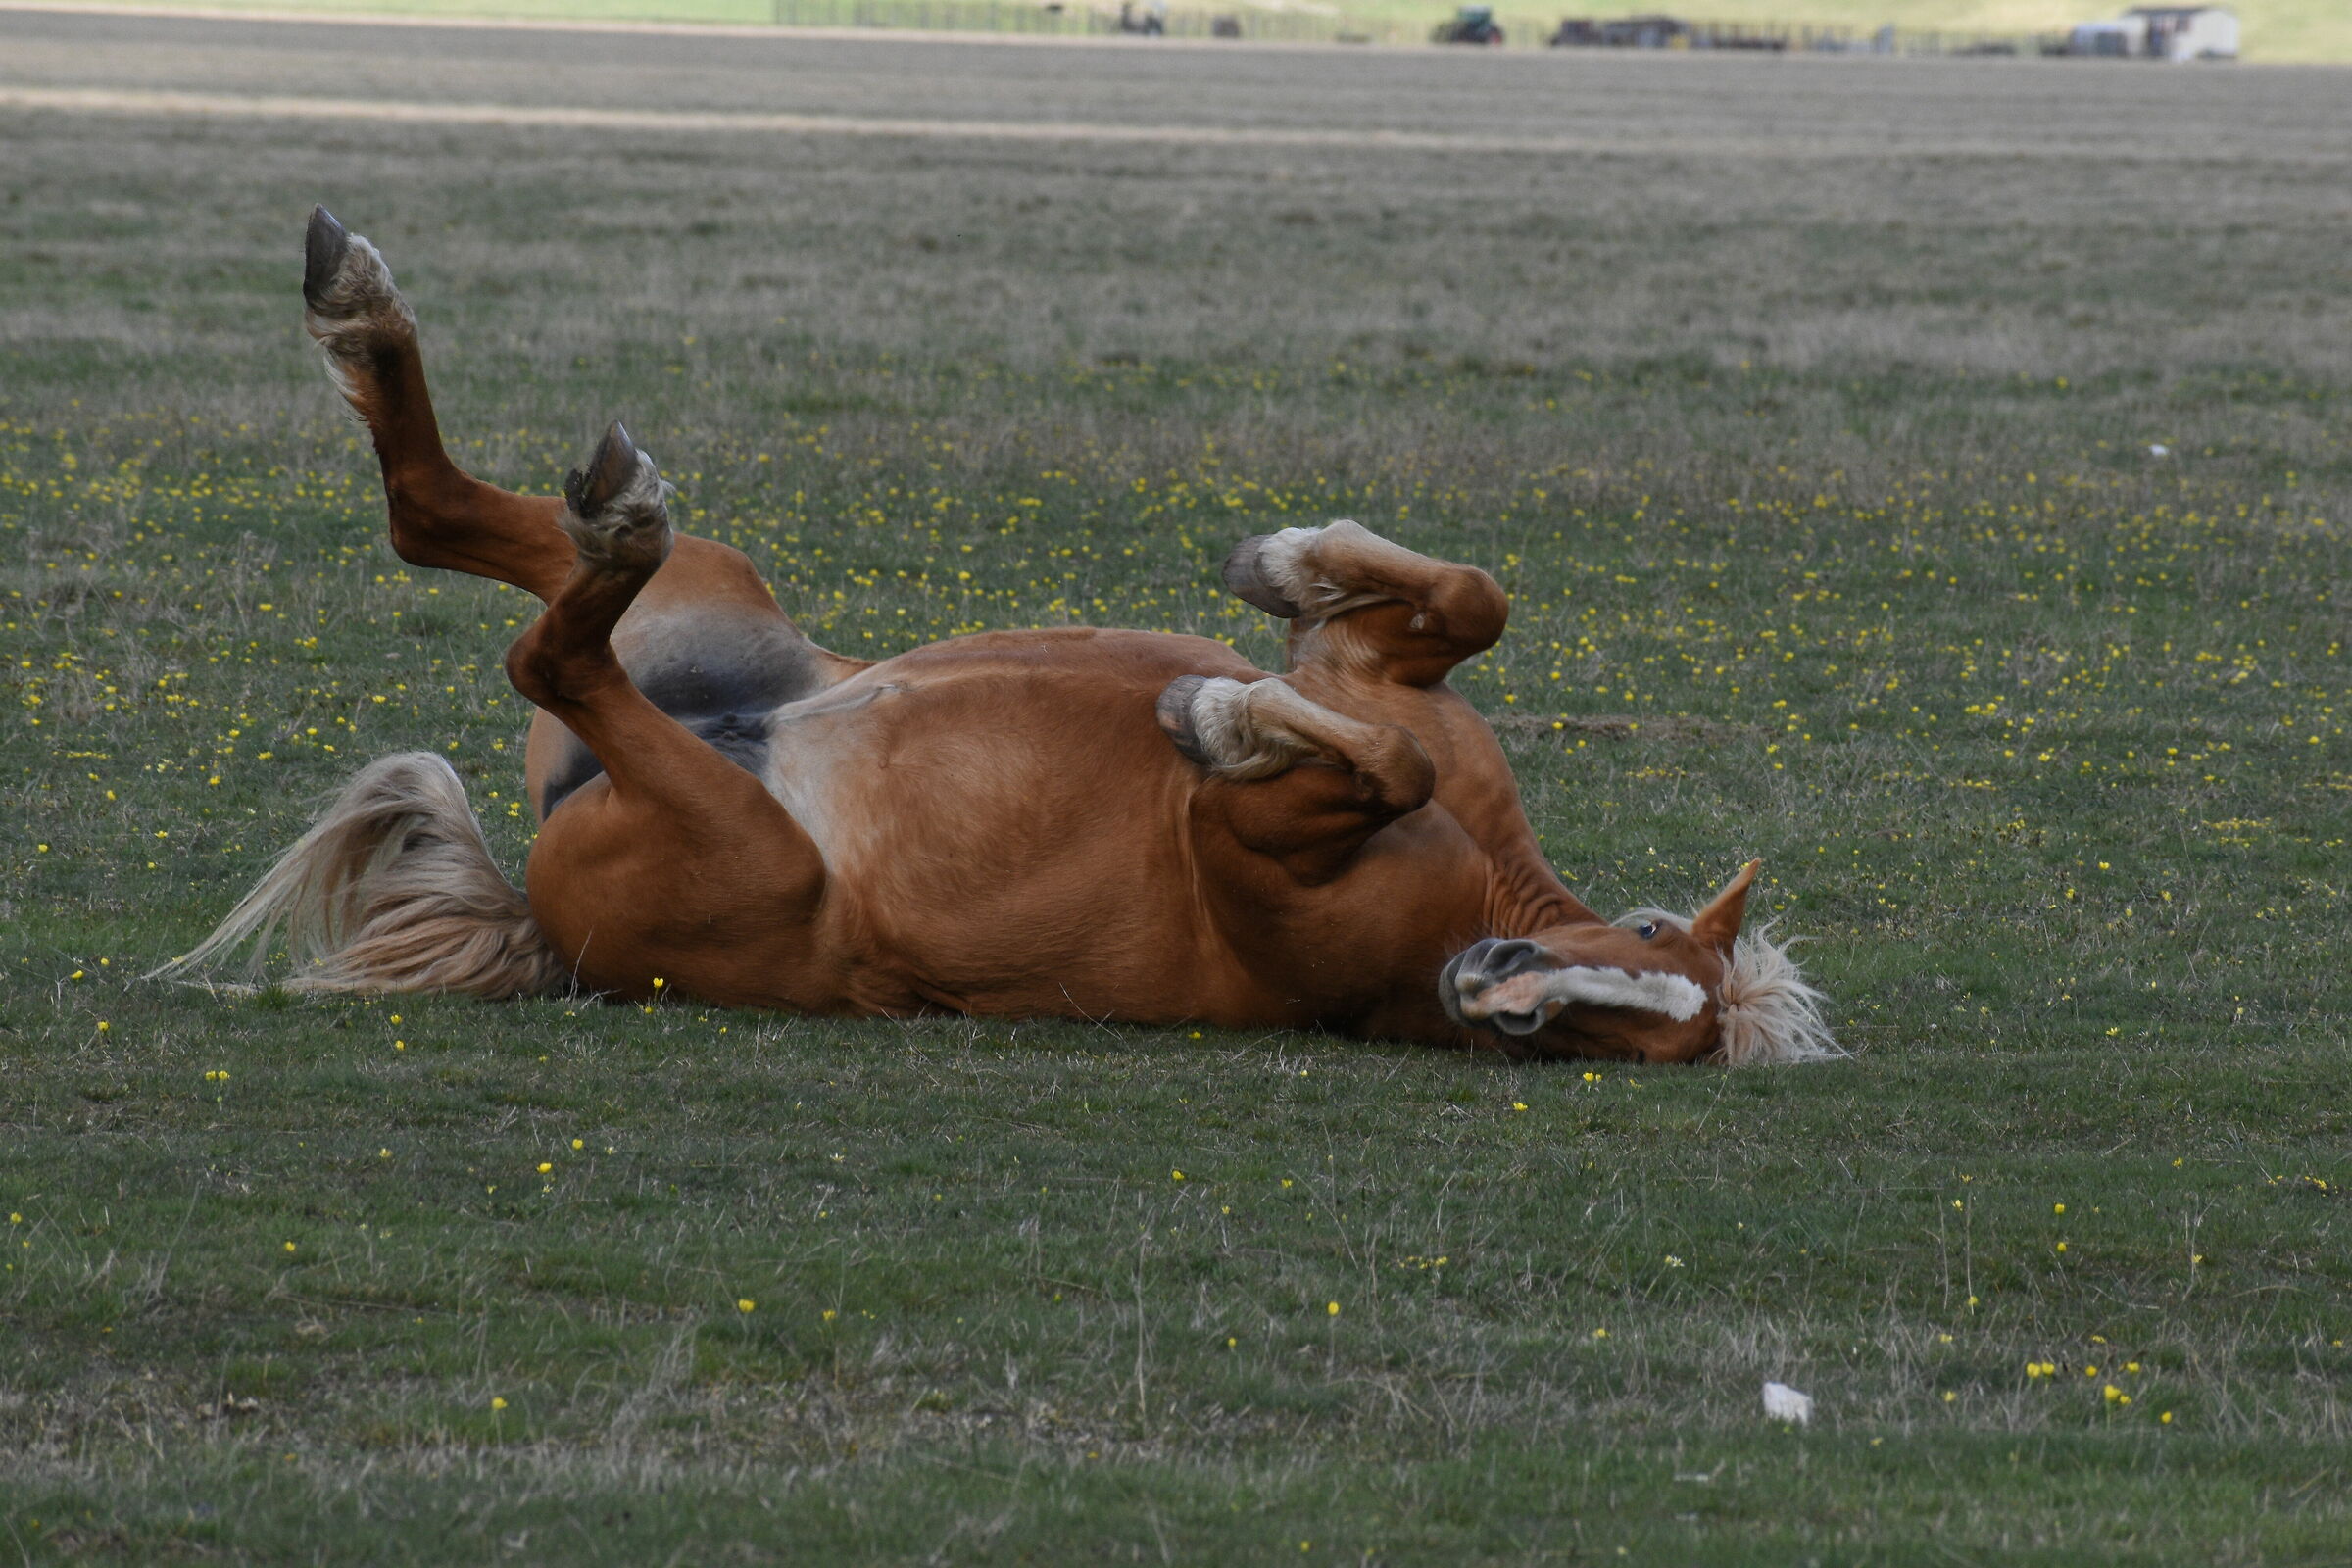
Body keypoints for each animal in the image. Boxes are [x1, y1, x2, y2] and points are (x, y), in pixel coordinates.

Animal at [156, 208, 1839, 1067]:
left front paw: (1214, 714)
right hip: (722, 593)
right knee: (445, 522)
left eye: (1605, 1042)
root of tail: (531, 910)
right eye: (1640, 944)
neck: (1481, 888)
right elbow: (1453, 614)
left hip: (739, 837)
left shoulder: (1258, 846)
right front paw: (1282, 577)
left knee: (541, 637)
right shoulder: (1395, 701)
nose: (1492, 991)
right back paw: (373, 314)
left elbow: (1363, 758)